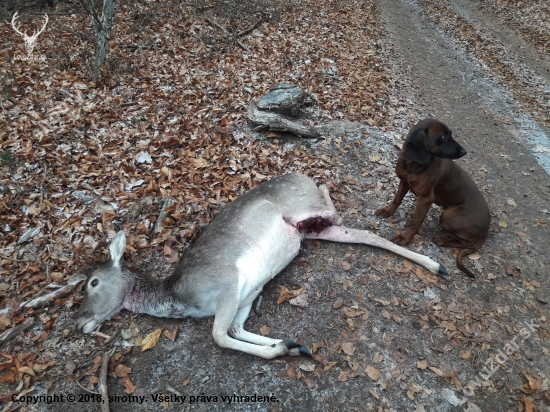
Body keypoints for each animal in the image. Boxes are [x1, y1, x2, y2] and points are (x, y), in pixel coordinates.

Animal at [76, 172, 448, 358]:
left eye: (92, 282)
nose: (81, 322)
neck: (182, 298)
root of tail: (300, 174)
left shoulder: (228, 282)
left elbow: (219, 335)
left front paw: (279, 350)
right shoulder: (248, 293)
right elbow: (236, 329)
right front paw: (289, 345)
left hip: (305, 209)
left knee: (333, 204)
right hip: (315, 230)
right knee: (366, 234)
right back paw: (436, 266)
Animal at [380, 119, 492, 278]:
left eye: (449, 134)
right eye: (443, 137)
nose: (464, 152)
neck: (413, 164)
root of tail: (486, 232)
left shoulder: (426, 199)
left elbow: (414, 222)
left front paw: (405, 238)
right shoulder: (404, 182)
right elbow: (397, 200)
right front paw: (387, 211)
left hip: (447, 217)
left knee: (467, 243)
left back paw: (442, 240)